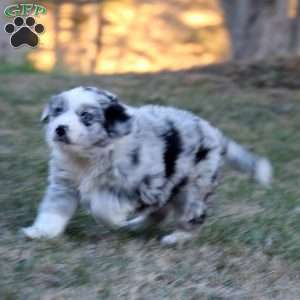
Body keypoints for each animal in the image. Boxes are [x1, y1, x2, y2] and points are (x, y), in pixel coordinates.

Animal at [22, 85, 274, 245]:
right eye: (58, 112)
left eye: (86, 117)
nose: (60, 129)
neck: (89, 156)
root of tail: (215, 133)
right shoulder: (64, 184)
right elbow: (53, 210)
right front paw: (41, 232)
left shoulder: (142, 184)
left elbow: (103, 207)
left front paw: (110, 219)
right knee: (160, 212)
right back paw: (136, 226)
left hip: (194, 187)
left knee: (192, 215)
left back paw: (178, 237)